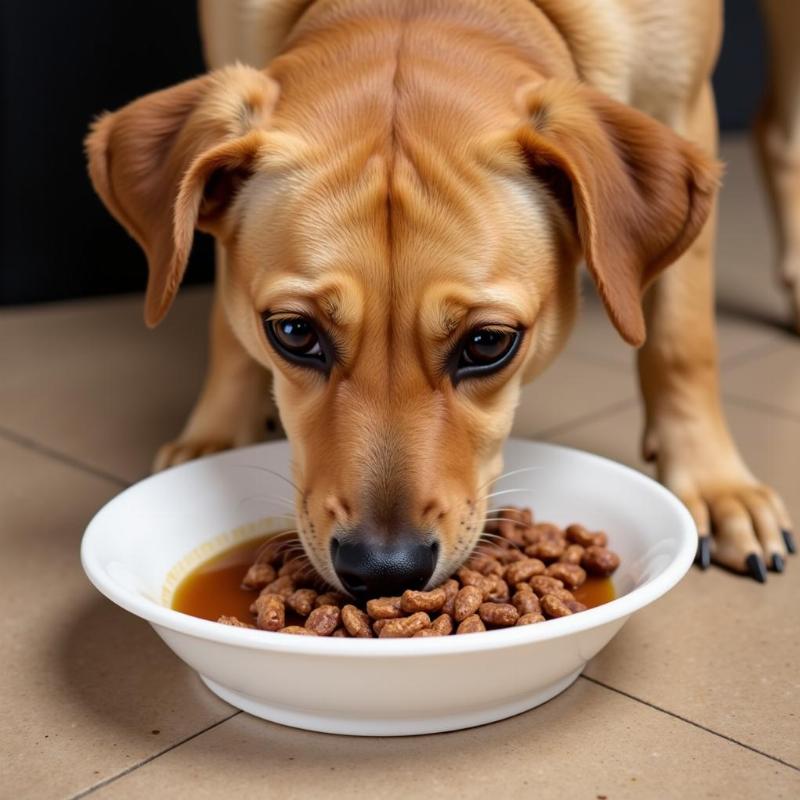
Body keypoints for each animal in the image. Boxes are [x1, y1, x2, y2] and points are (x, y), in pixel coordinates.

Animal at [86, 0, 792, 592]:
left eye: (487, 343)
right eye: (292, 332)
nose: (383, 570)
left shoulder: (683, 102)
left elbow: (680, 337)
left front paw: (715, 485)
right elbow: (223, 317)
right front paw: (217, 433)